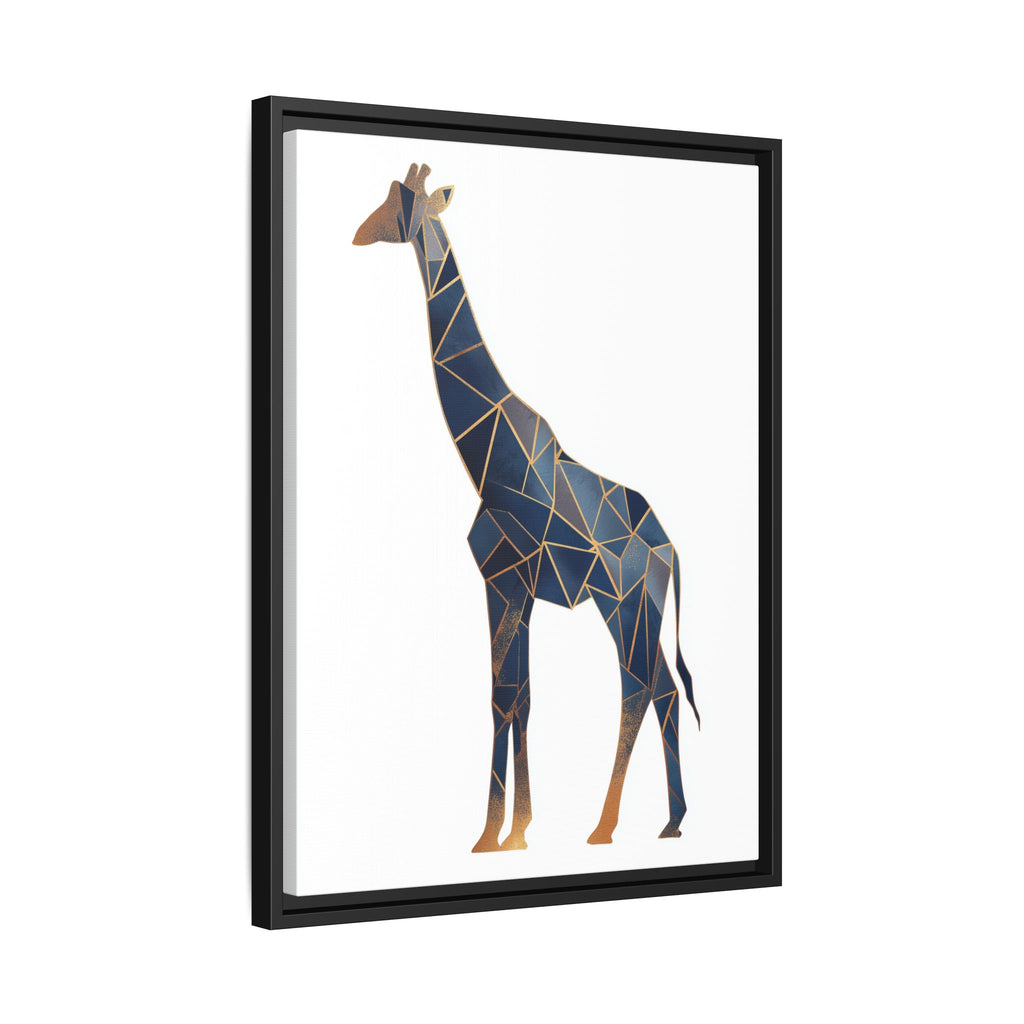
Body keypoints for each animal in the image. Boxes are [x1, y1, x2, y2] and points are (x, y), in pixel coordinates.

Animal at [353, 163, 700, 852]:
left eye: (398, 203)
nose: (358, 232)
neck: (486, 457)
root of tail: (670, 550)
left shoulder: (502, 579)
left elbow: (502, 697)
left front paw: (493, 834)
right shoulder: (517, 588)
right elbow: (521, 697)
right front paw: (516, 830)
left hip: (620, 602)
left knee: (637, 687)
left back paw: (605, 826)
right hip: (640, 607)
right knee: (665, 690)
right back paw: (671, 821)